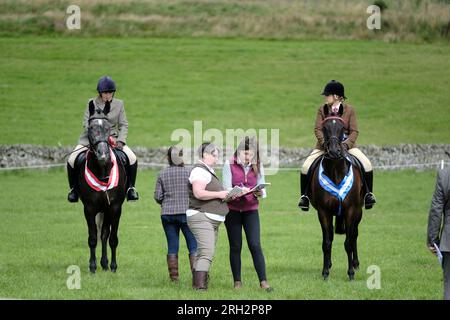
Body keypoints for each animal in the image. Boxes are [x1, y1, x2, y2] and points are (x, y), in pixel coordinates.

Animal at [310, 115, 366, 280]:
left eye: (342, 128)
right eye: (325, 128)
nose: (335, 151)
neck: (335, 170)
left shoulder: (351, 210)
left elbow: (348, 242)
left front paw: (351, 273)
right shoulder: (323, 212)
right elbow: (327, 242)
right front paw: (325, 272)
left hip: (359, 212)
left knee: (354, 235)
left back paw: (356, 264)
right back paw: (329, 264)